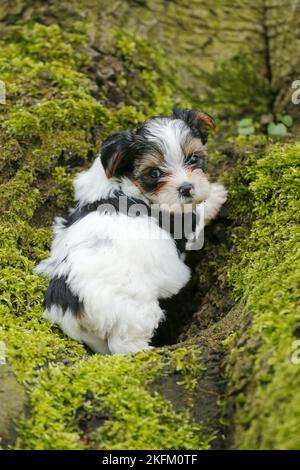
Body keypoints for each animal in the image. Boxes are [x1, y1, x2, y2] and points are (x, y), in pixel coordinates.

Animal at [36, 108, 226, 354]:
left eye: (193, 158)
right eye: (154, 173)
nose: (186, 188)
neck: (123, 181)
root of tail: (67, 301)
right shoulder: (181, 221)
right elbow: (198, 213)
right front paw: (216, 195)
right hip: (133, 310)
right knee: (126, 344)